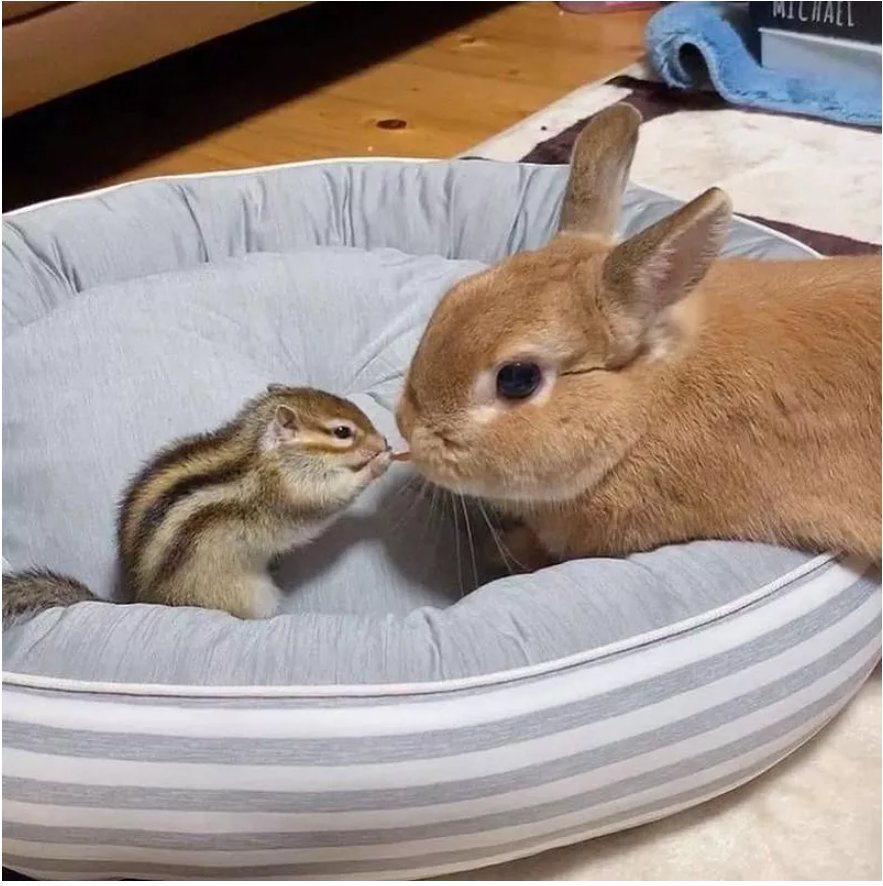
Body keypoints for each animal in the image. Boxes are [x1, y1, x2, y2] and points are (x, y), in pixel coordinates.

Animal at [4, 385, 398, 624]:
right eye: (342, 432)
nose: (383, 441)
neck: (262, 451)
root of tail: (142, 600)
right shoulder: (292, 493)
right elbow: (329, 503)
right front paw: (378, 463)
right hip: (248, 596)